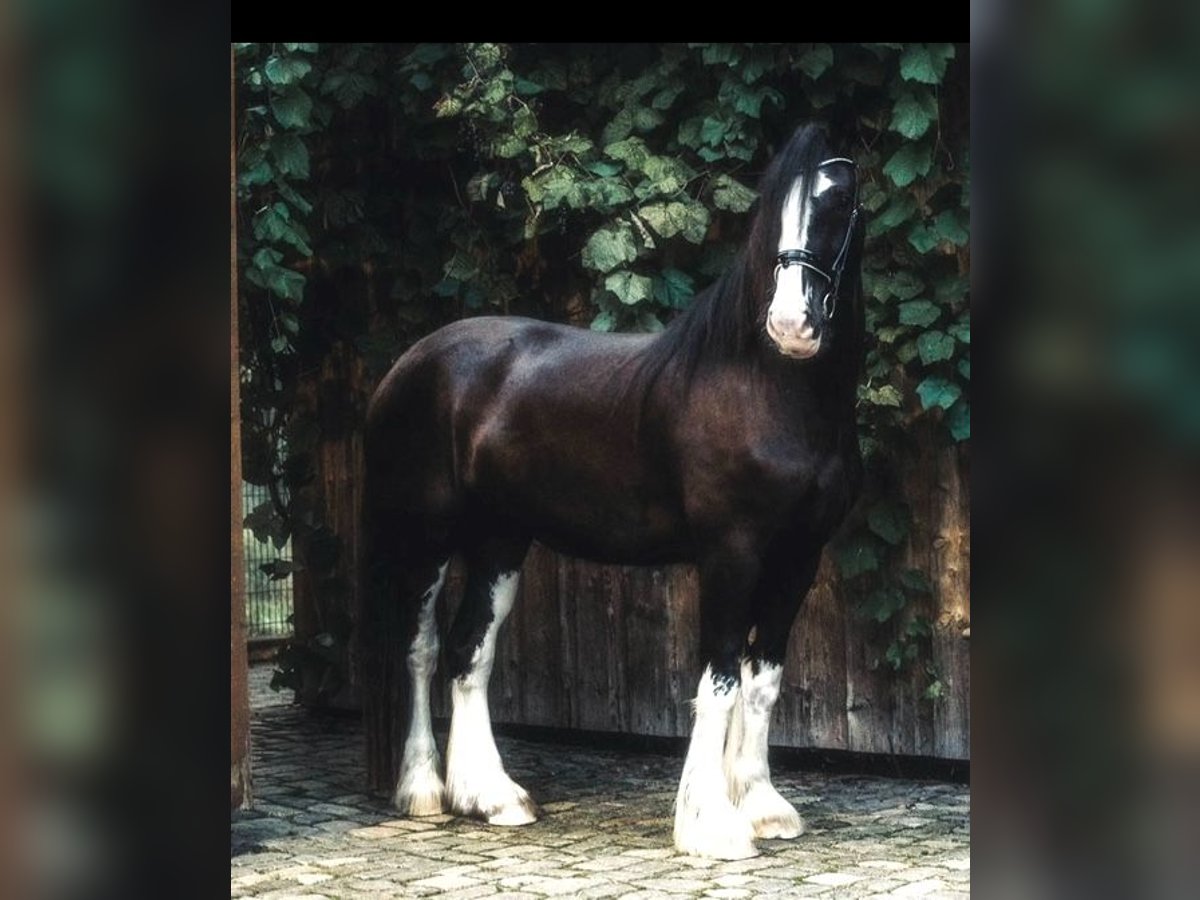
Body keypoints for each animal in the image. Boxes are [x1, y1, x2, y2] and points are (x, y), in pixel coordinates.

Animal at [360, 121, 868, 859]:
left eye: (839, 202)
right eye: (774, 209)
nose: (790, 325)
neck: (766, 389)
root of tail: (409, 363)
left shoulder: (798, 557)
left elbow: (762, 681)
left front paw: (762, 806)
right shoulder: (731, 552)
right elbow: (718, 679)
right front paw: (711, 825)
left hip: (500, 540)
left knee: (468, 652)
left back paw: (493, 798)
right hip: (427, 536)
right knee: (421, 648)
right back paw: (425, 790)